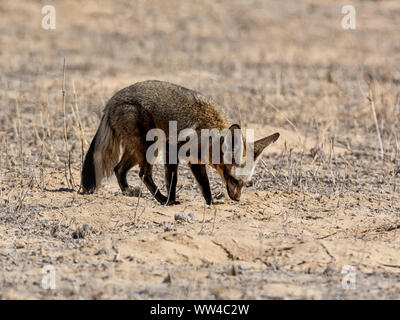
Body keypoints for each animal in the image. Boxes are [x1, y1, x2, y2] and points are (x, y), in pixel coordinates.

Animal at [80, 80, 280, 205]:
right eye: (234, 180)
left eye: (244, 183)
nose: (237, 199)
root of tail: (112, 101)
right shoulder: (172, 149)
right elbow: (173, 180)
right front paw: (171, 200)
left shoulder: (195, 160)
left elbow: (204, 184)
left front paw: (210, 203)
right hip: (150, 147)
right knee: (144, 174)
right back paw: (161, 200)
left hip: (138, 151)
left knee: (118, 169)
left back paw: (128, 192)